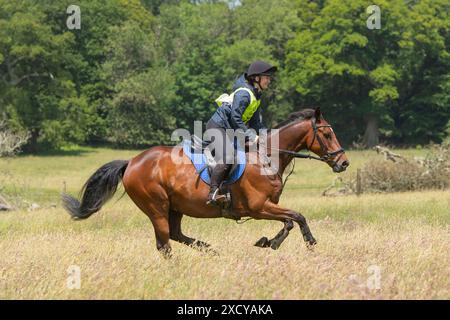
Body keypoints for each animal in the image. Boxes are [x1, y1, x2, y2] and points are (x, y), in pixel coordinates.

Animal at [61, 109, 348, 256]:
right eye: (326, 134)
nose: (344, 162)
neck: (266, 157)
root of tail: (131, 161)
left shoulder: (267, 206)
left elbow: (289, 220)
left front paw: (269, 242)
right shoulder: (258, 207)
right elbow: (297, 216)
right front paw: (308, 241)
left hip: (175, 207)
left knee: (174, 235)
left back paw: (208, 249)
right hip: (156, 206)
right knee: (164, 243)